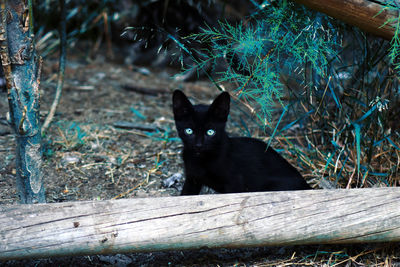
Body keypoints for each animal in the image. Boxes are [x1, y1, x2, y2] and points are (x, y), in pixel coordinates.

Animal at [171, 89, 310, 195]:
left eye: (210, 132)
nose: (198, 145)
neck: (200, 160)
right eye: (189, 131)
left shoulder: (234, 183)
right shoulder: (192, 179)